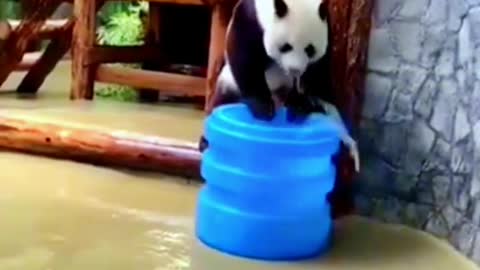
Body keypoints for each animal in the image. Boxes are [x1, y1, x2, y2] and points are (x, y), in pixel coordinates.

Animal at [200, 0, 360, 171]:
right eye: (286, 46)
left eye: (310, 49)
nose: (295, 70)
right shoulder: (250, 17)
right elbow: (244, 54)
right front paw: (263, 108)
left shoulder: (326, 28)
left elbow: (317, 72)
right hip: (229, 82)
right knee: (222, 100)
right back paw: (205, 142)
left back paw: (299, 108)